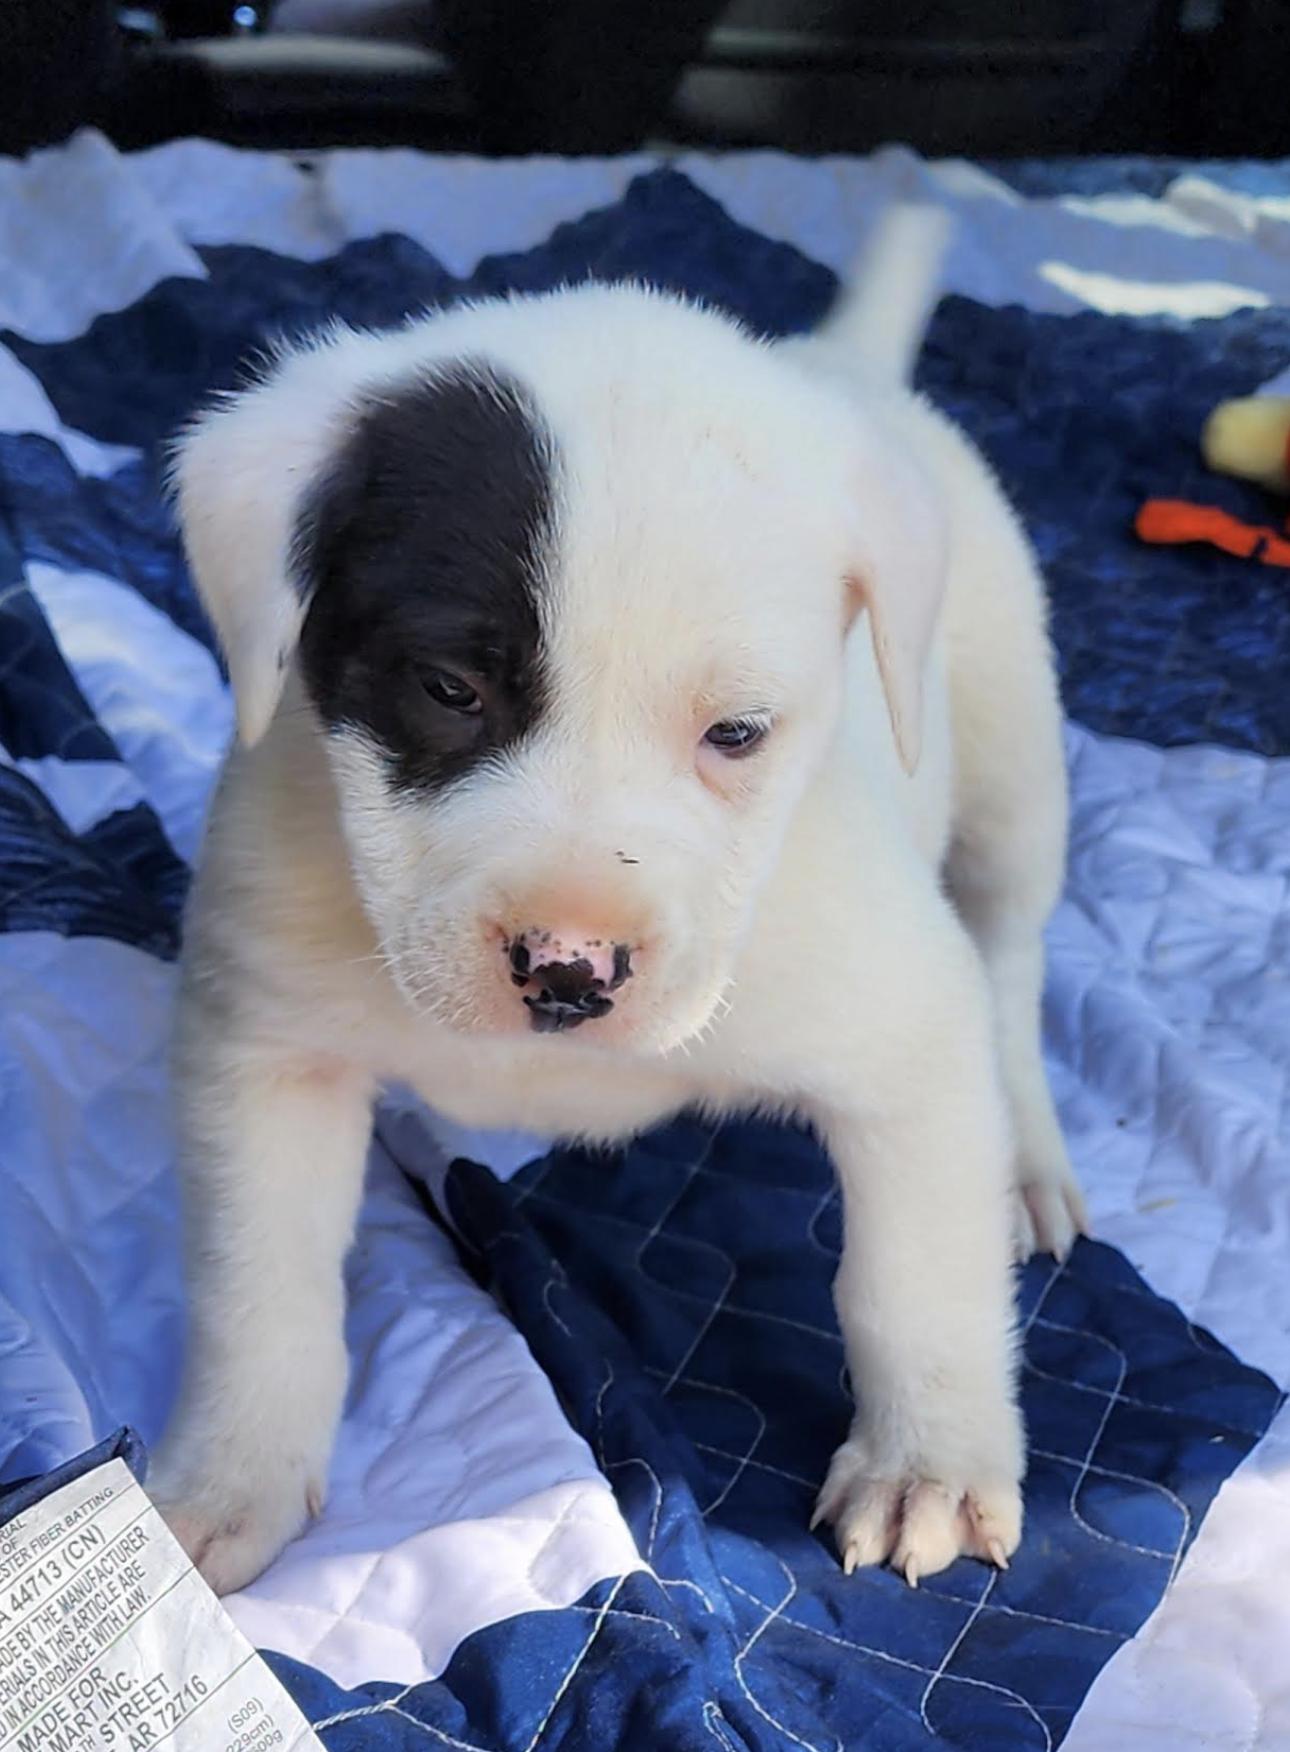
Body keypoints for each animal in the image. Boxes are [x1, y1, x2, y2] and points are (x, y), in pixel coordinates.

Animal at [152, 208, 1086, 1596]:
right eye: (448, 687)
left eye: (737, 733)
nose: (569, 966)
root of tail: (835, 365)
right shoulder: (260, 1057)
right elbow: (257, 1284)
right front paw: (226, 1477)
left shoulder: (906, 1036)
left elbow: (914, 1280)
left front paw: (929, 1461)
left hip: (1011, 756)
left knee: (1010, 958)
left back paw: (1024, 1152)